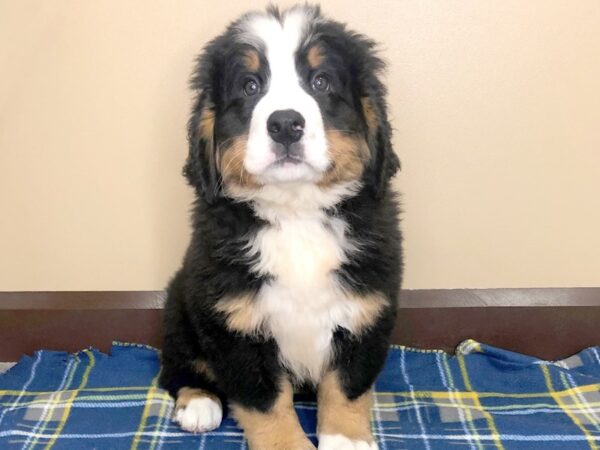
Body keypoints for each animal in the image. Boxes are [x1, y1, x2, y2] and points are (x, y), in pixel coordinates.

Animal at [159, 4, 404, 450]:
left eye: (321, 82)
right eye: (250, 86)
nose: (286, 123)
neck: (296, 213)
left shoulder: (367, 310)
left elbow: (346, 386)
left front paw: (346, 440)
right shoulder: (233, 323)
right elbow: (267, 402)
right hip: (179, 303)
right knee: (177, 365)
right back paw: (199, 401)